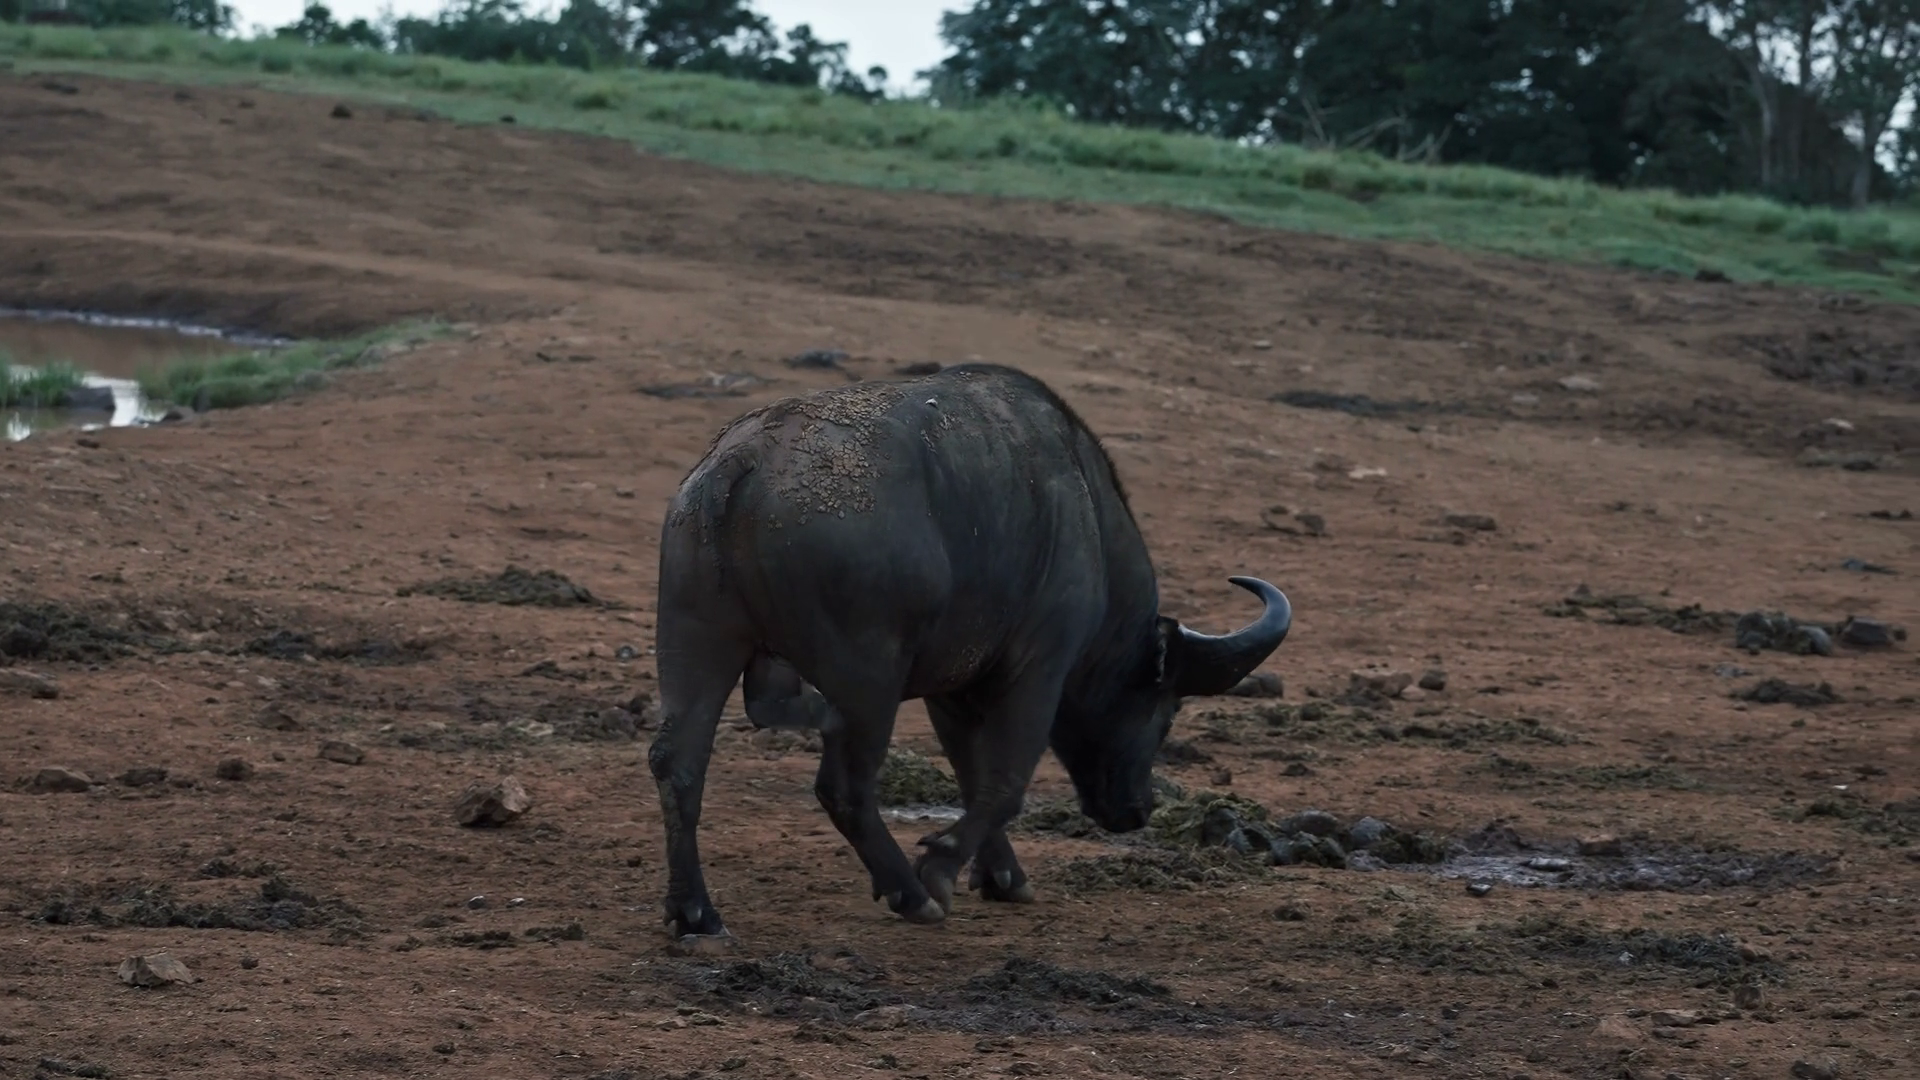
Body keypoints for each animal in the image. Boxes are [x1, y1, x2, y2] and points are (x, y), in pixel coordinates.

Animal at [648, 363, 1292, 948]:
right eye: (1166, 710)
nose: (1137, 808)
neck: (1086, 512)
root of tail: (742, 462)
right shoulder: (1039, 668)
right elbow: (1004, 782)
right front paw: (944, 869)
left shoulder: (951, 687)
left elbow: (970, 772)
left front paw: (1000, 873)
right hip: (869, 681)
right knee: (844, 785)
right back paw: (910, 892)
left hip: (697, 642)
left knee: (679, 763)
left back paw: (696, 912)